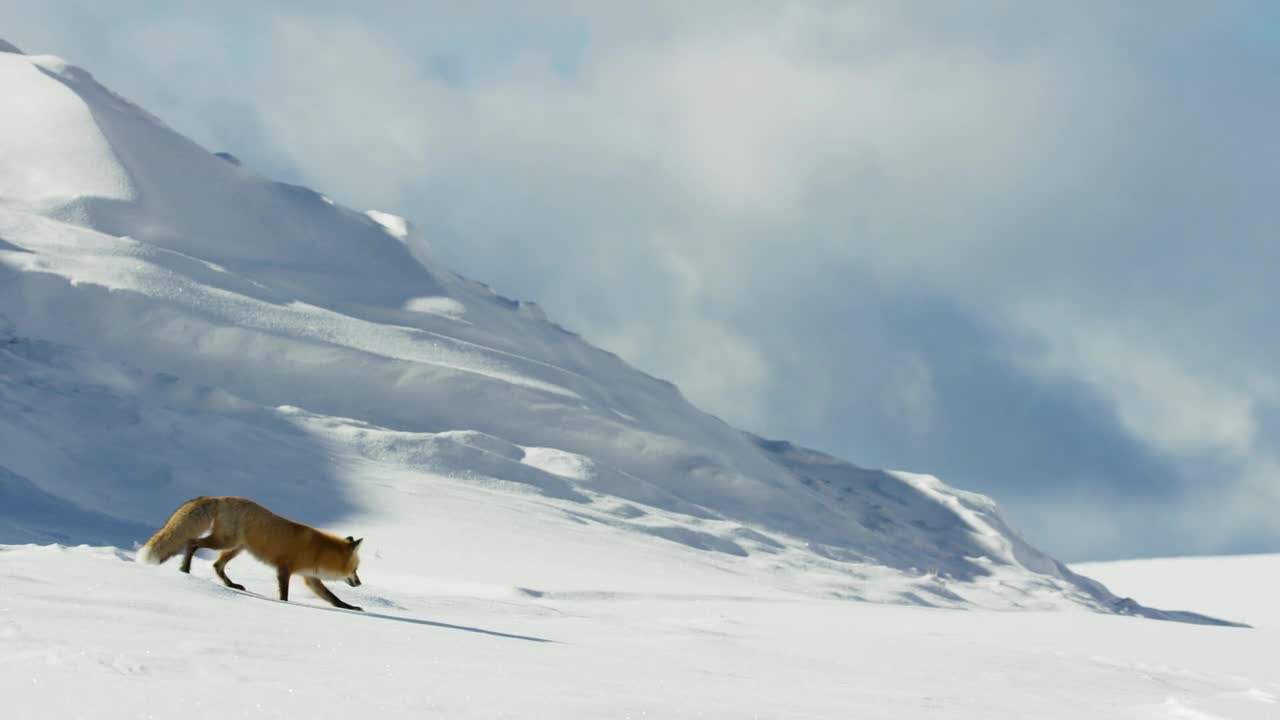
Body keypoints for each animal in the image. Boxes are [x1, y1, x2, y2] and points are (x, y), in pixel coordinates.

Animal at [139, 497, 366, 607]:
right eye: (355, 569)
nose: (360, 583)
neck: (319, 551)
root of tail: (221, 498)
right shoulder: (284, 569)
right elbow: (284, 595)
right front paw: (284, 605)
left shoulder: (310, 579)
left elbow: (333, 598)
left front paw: (352, 608)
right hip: (224, 542)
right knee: (192, 542)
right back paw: (185, 569)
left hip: (236, 548)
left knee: (216, 565)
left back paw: (231, 585)